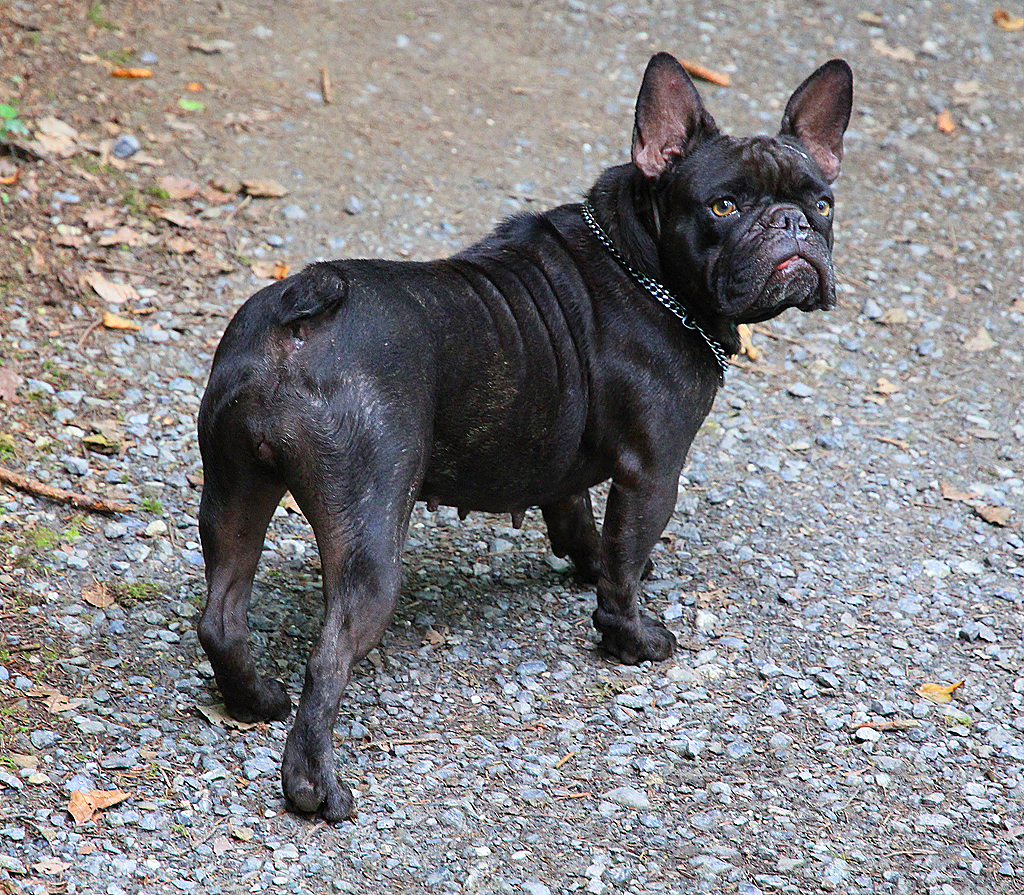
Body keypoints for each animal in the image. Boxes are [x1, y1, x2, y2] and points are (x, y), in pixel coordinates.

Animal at [195, 52, 851, 819]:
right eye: (723, 206)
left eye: (822, 204)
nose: (792, 223)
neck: (644, 261)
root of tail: (296, 316)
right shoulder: (654, 471)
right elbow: (624, 561)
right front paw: (633, 638)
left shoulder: (565, 462)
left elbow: (585, 523)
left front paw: (588, 563)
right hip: (370, 528)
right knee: (328, 655)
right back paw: (314, 785)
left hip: (234, 489)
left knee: (222, 613)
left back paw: (254, 698)